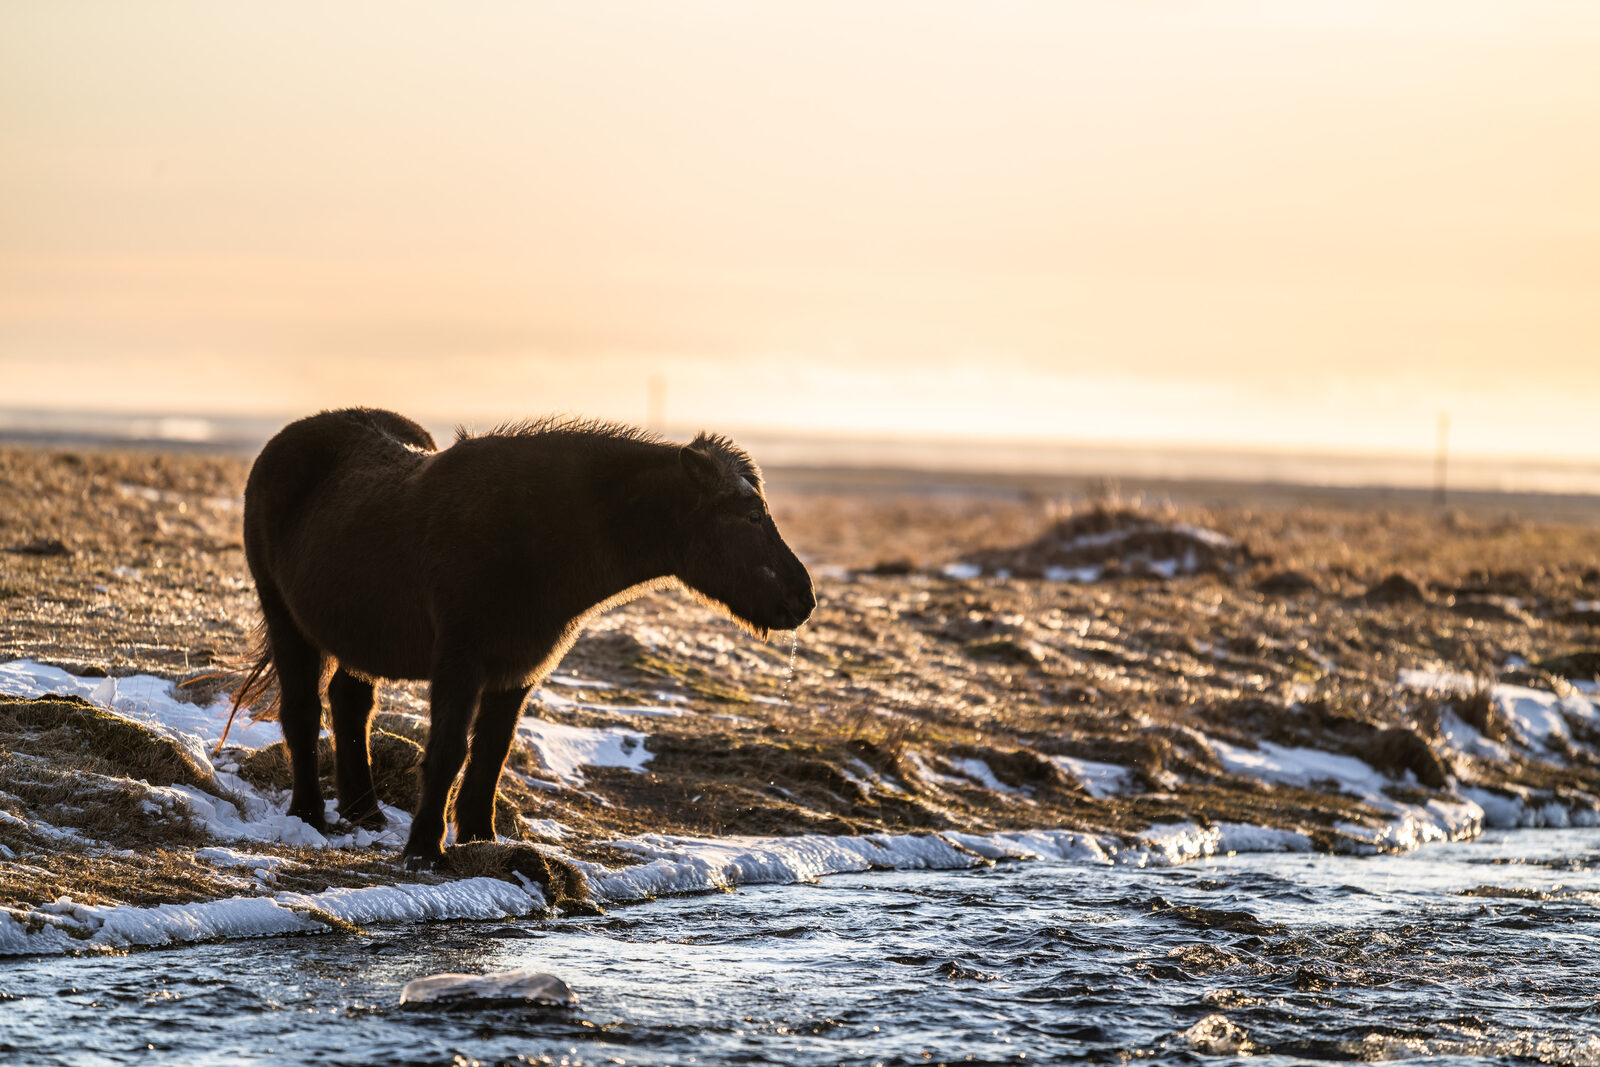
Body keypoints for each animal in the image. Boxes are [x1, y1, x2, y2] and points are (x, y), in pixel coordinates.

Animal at [232, 407, 815, 864]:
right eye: (750, 514)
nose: (803, 598)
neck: (534, 533)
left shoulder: (516, 671)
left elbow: (492, 754)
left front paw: (478, 838)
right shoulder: (460, 663)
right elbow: (448, 751)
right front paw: (424, 852)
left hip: (356, 636)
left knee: (351, 706)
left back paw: (367, 814)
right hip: (286, 620)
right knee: (303, 712)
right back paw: (310, 816)